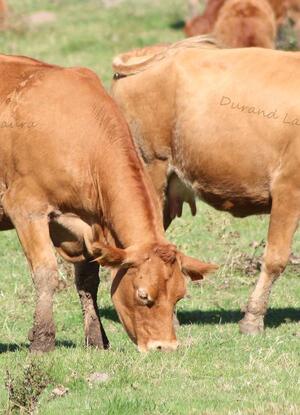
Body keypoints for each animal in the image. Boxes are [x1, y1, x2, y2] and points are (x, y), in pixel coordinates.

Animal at [0, 53, 216, 352]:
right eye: (143, 295)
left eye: (179, 296)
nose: (165, 347)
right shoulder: (26, 208)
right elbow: (46, 273)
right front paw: (42, 340)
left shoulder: (85, 228)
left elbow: (88, 281)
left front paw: (96, 338)